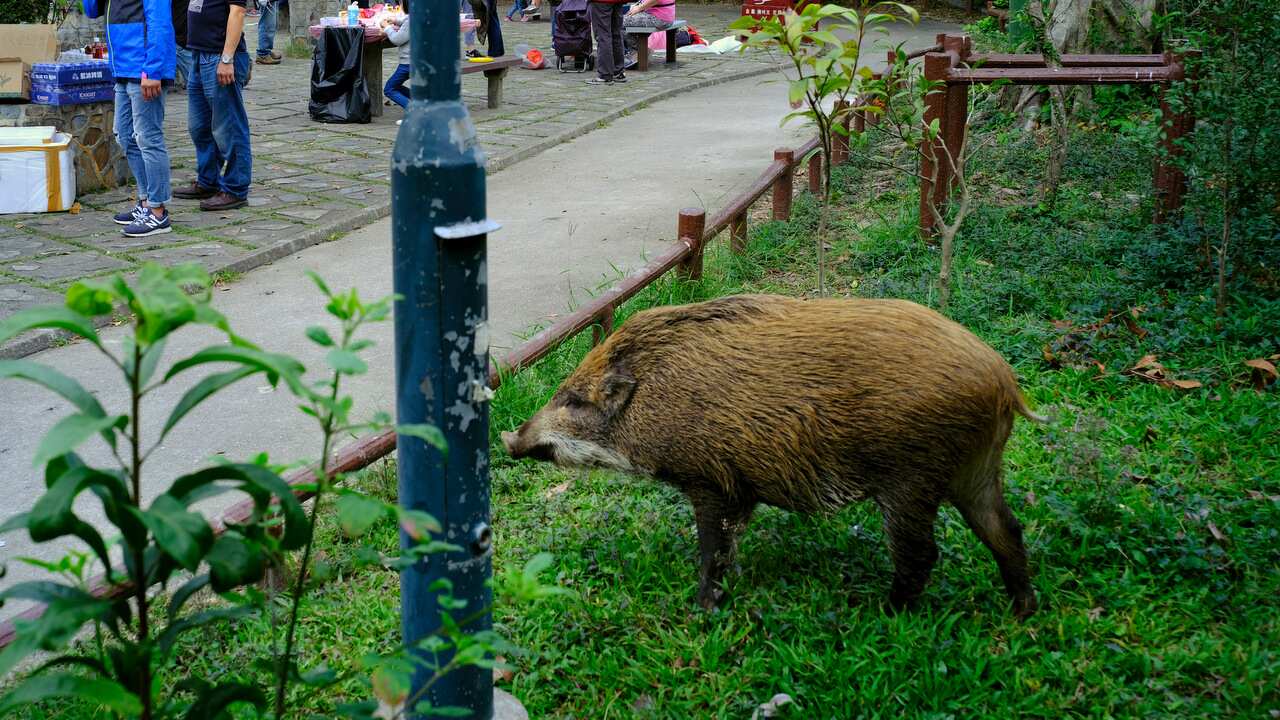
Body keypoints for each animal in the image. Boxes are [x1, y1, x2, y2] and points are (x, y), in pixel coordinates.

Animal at [502, 294, 1041, 617]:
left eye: (574, 400)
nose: (509, 438)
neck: (653, 399)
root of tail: (1003, 380)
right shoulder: (741, 488)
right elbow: (730, 545)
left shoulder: (710, 480)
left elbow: (713, 549)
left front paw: (703, 609)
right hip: (975, 470)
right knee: (1005, 530)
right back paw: (1022, 611)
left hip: (913, 479)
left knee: (922, 552)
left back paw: (882, 614)